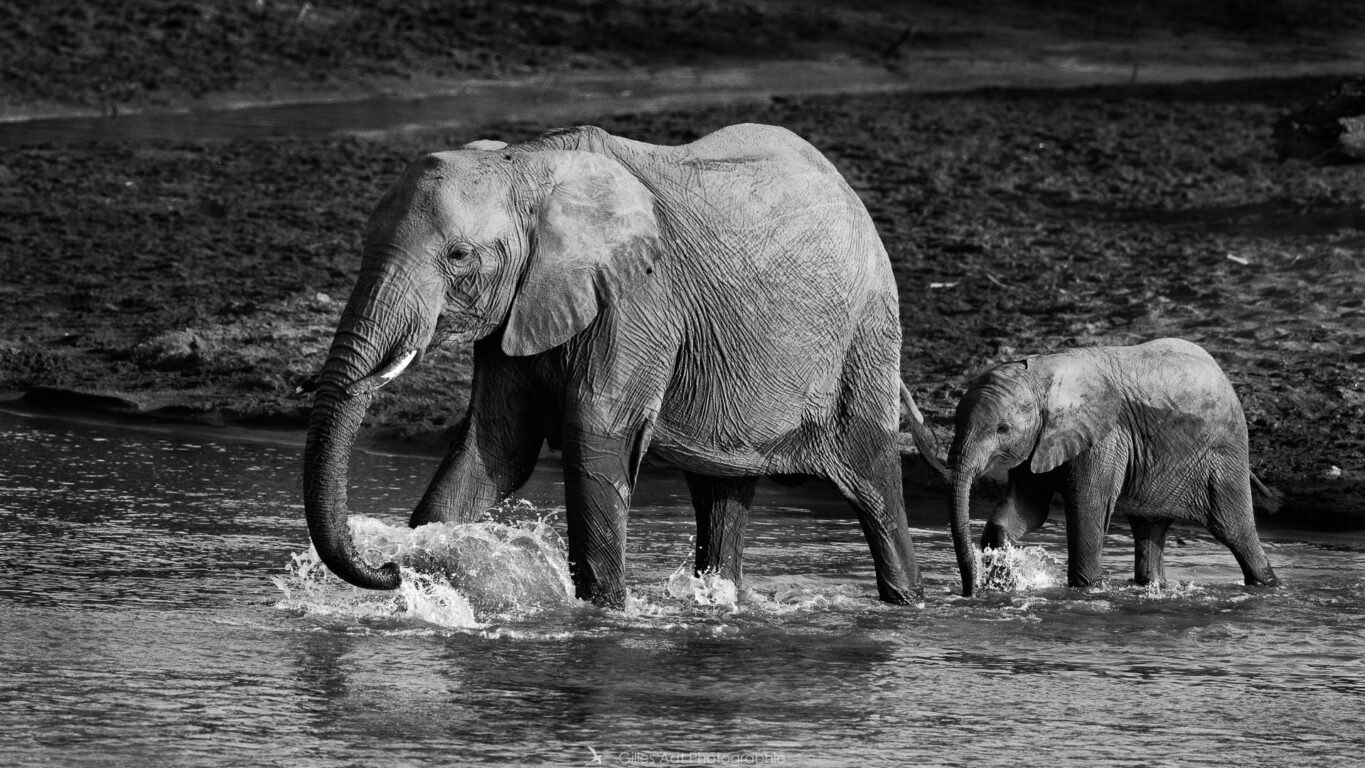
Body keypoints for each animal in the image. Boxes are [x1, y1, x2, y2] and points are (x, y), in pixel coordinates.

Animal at [304, 123, 944, 611]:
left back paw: (906, 606)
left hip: (866, 334)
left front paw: (606, 615)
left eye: (459, 256)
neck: (530, 164)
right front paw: (428, 565)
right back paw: (723, 602)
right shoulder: (524, 304)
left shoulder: (638, 299)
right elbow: (497, 448)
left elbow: (597, 436)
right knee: (722, 495)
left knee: (874, 484)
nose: (387, 565)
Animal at [950, 339, 1277, 597]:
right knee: (1149, 528)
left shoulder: (1103, 438)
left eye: (1003, 429)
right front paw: (1002, 562)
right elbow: (1028, 509)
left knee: (1234, 530)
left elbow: (1087, 508)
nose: (969, 593)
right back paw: (1152, 587)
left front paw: (1087, 590)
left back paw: (1267, 585)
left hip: (1223, 457)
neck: (1041, 377)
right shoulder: (1035, 443)